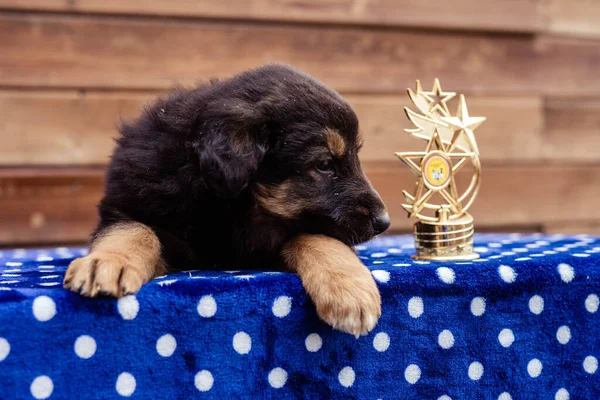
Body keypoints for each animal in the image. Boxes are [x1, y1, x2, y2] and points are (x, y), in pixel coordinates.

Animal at [64, 65, 390, 334]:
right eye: (324, 164)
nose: (383, 222)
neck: (225, 205)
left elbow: (316, 237)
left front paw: (348, 288)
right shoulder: (127, 205)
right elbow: (134, 229)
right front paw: (107, 262)